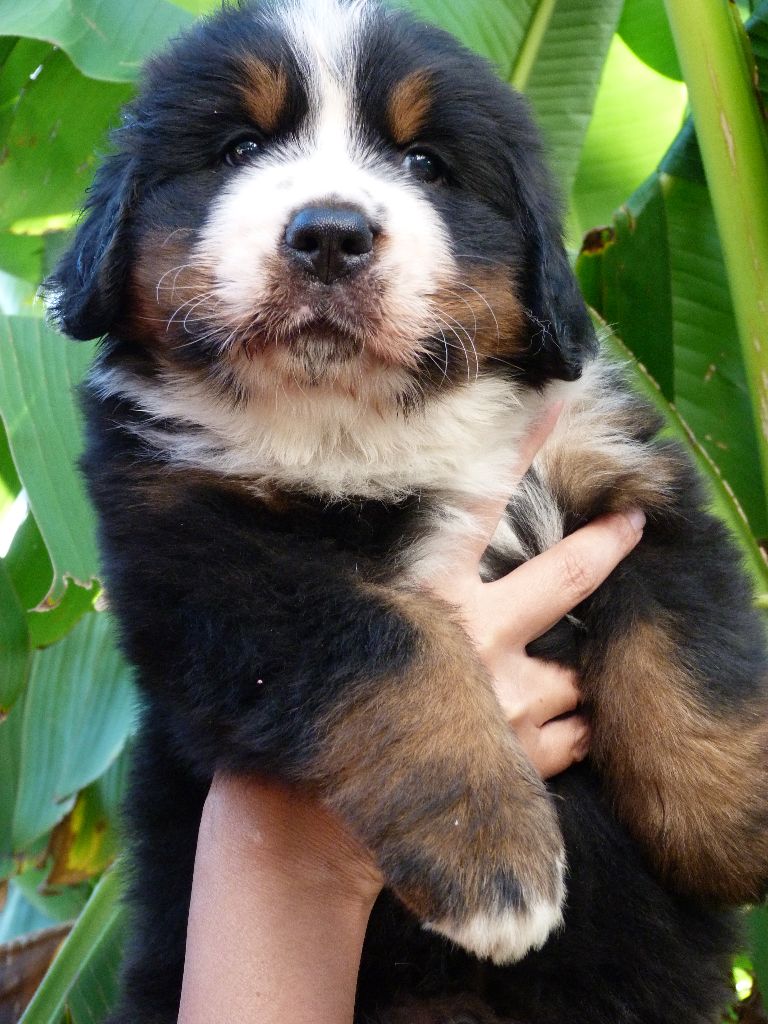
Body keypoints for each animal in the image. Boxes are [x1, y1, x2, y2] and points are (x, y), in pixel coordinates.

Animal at [46, 2, 768, 1024]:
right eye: (240, 147)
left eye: (425, 161)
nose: (330, 235)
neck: (364, 423)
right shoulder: (201, 550)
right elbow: (389, 647)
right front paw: (492, 857)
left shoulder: (620, 472)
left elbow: (690, 651)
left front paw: (736, 832)